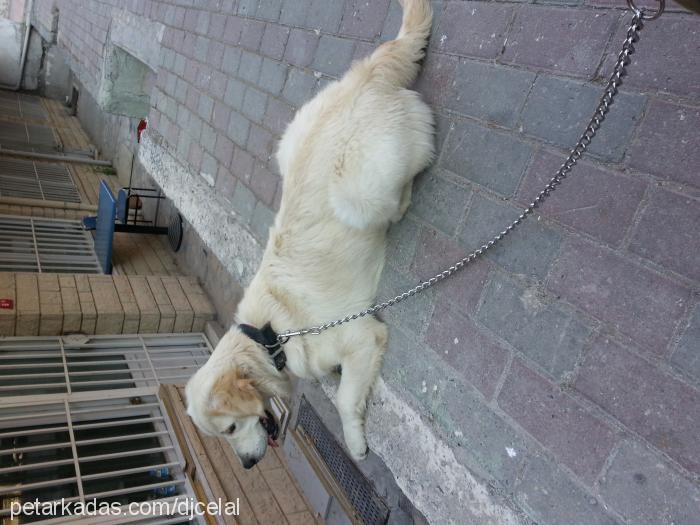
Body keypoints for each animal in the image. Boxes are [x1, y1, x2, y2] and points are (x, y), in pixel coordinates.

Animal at [189, 0, 434, 466]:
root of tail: (363, 74)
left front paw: (355, 441)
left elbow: (343, 400)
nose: (247, 465)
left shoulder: (363, 336)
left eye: (230, 428)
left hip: (360, 195)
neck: (270, 335)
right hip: (288, 145)